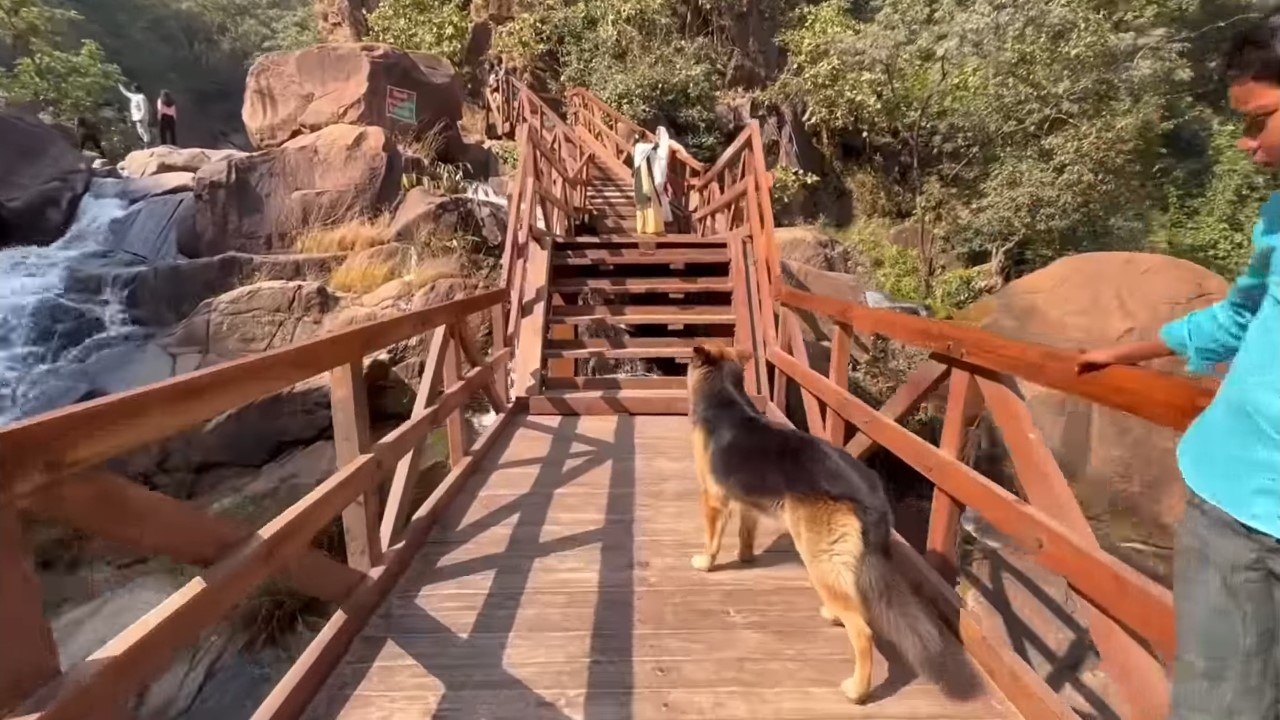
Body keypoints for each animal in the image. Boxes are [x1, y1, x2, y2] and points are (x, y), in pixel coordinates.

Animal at [691, 340, 967, 702]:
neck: (726, 395)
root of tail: (871, 493)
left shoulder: (713, 498)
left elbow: (712, 539)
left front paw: (706, 563)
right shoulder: (745, 499)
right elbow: (746, 531)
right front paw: (745, 556)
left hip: (821, 560)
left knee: (863, 631)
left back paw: (857, 690)